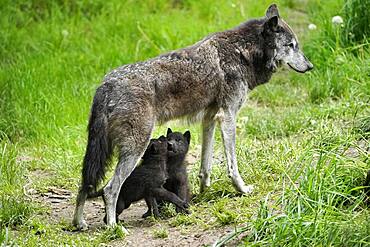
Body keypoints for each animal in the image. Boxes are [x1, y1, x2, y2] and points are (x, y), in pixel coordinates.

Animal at [72, 3, 312, 230]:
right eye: (291, 46)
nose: (310, 66)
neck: (241, 52)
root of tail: (106, 84)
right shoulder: (228, 117)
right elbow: (232, 166)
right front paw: (242, 189)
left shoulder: (210, 119)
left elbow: (205, 167)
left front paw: (203, 193)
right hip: (133, 149)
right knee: (110, 189)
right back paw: (114, 227)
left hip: (98, 153)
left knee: (85, 185)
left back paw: (79, 223)